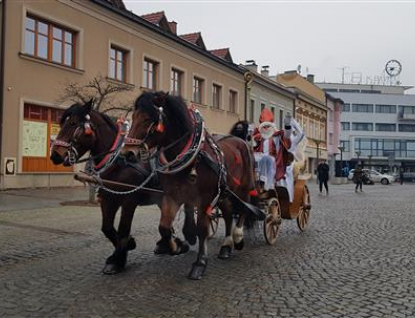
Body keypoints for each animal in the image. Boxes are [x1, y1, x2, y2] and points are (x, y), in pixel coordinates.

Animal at [50, 100, 197, 274]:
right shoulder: (108, 199)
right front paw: (125, 247)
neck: (118, 164)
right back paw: (167, 244)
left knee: (188, 209)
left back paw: (189, 235)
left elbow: (123, 229)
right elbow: (107, 228)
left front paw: (118, 259)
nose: (55, 155)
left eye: (72, 123)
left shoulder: (129, 201)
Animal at [122, 90, 264, 280]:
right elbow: (164, 226)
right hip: (223, 192)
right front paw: (174, 246)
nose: (127, 153)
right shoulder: (172, 196)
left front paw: (200, 263)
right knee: (228, 214)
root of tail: (241, 141)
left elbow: (202, 229)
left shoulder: (204, 199)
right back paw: (226, 246)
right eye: (133, 117)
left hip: (243, 187)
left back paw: (238, 238)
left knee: (243, 209)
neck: (190, 157)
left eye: (147, 119)